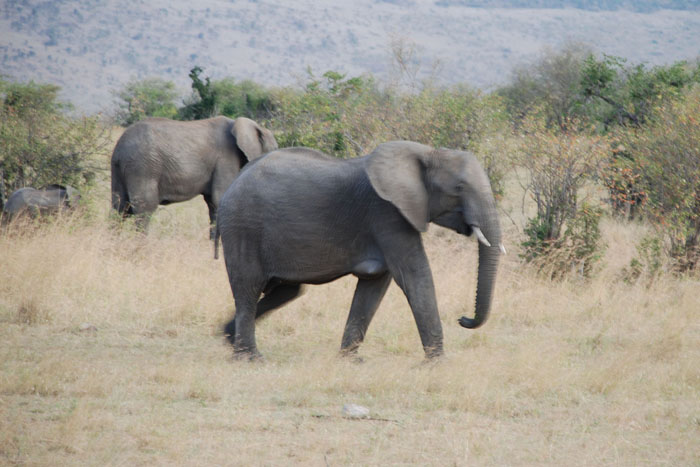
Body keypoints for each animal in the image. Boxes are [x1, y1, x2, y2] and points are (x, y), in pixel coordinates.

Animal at [110, 115, 278, 236]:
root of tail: (119, 148)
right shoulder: (225, 160)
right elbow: (219, 199)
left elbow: (213, 203)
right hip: (143, 166)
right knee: (144, 209)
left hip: (120, 168)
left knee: (120, 208)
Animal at [216, 141, 506, 360]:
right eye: (459, 188)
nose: (462, 319)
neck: (427, 152)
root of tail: (234, 182)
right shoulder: (388, 215)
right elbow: (415, 277)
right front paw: (437, 362)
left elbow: (374, 287)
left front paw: (350, 359)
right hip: (243, 227)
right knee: (248, 288)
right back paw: (250, 357)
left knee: (287, 290)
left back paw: (226, 336)